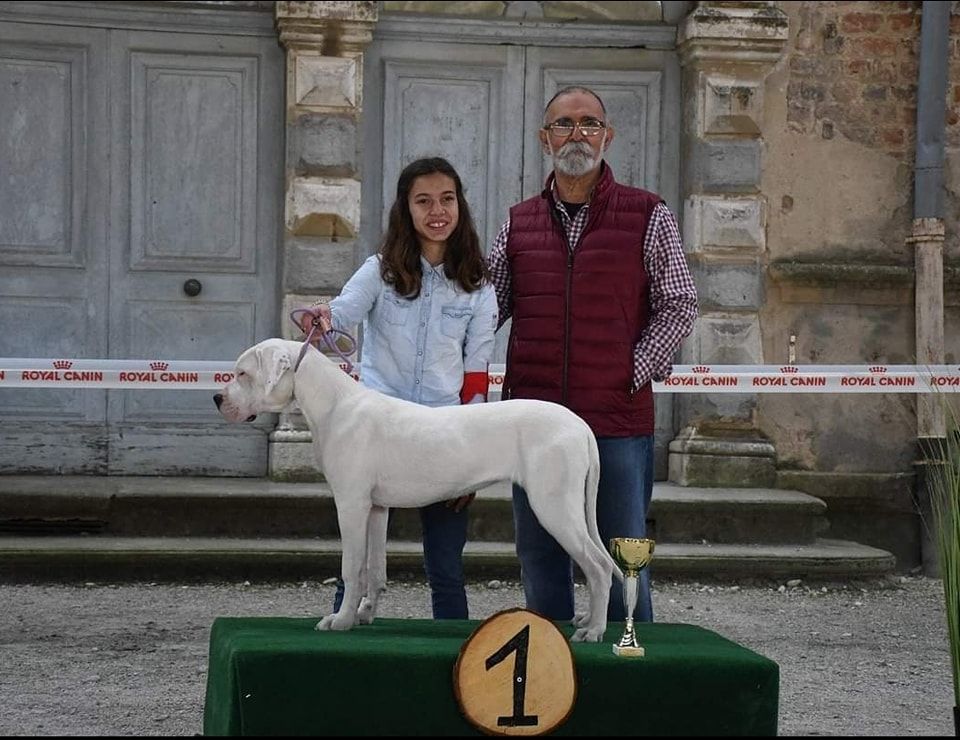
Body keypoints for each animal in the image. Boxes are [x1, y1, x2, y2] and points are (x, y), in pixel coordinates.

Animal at [214, 338, 620, 640]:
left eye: (243, 373)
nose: (217, 399)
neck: (334, 406)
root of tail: (579, 425)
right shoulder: (375, 509)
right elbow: (374, 569)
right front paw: (364, 614)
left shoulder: (351, 504)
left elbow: (351, 568)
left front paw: (340, 621)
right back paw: (587, 620)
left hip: (554, 505)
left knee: (599, 566)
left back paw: (595, 630)